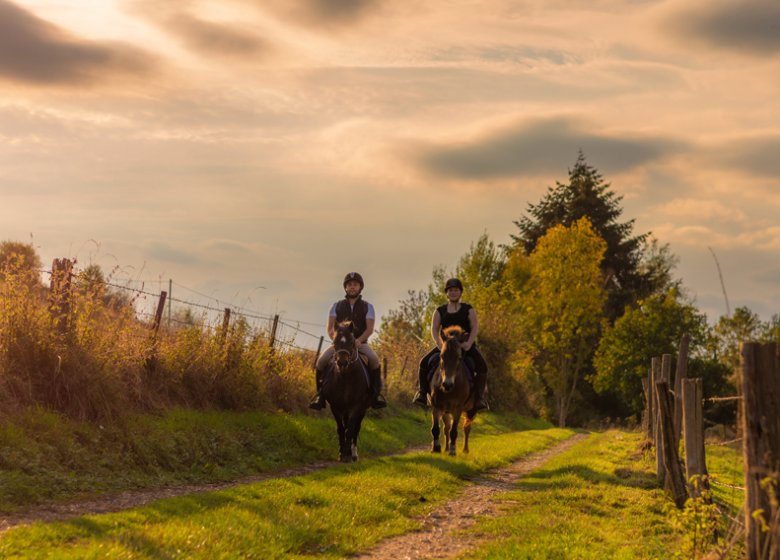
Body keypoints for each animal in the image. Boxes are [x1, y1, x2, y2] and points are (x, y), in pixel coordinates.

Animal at [322, 322, 374, 462]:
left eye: (351, 342)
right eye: (335, 342)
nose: (342, 363)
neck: (345, 377)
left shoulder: (356, 407)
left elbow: (351, 429)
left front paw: (347, 454)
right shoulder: (335, 406)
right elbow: (341, 428)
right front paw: (341, 453)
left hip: (362, 410)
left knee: (356, 429)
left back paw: (354, 454)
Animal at [426, 326, 476, 458]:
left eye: (459, 358)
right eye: (442, 356)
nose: (447, 384)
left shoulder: (458, 409)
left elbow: (454, 431)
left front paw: (453, 451)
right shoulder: (436, 406)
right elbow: (436, 429)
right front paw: (436, 448)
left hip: (471, 410)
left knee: (466, 427)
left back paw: (465, 449)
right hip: (445, 411)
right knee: (446, 428)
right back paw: (446, 447)